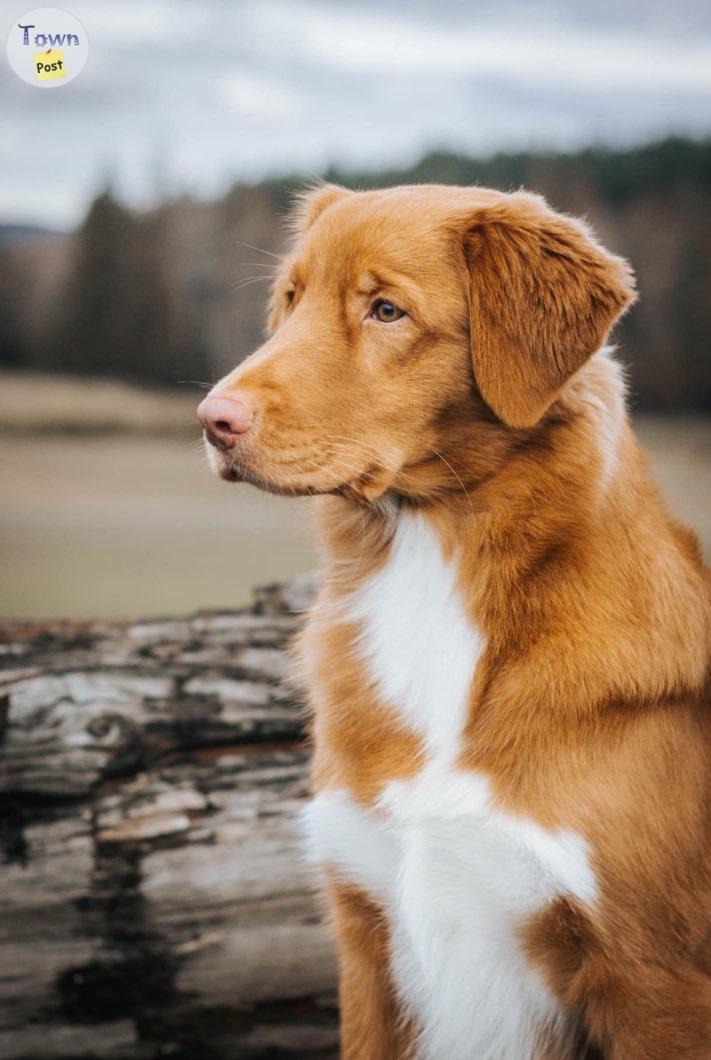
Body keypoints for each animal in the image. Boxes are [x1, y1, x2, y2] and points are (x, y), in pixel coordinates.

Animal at [199, 184, 711, 1060]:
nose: (211, 419)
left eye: (385, 310)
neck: (428, 564)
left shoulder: (656, 979)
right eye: (291, 300)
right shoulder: (367, 936)